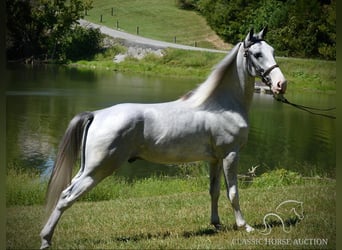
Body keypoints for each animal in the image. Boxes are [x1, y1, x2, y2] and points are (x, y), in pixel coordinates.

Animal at [40, 28, 286, 249]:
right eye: (257, 54)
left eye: (273, 51)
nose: (280, 85)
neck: (222, 106)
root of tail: (96, 114)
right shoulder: (230, 154)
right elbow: (233, 192)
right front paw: (244, 226)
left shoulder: (215, 159)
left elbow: (214, 191)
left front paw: (216, 224)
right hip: (97, 170)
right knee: (66, 197)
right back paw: (45, 239)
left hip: (87, 168)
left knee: (66, 192)